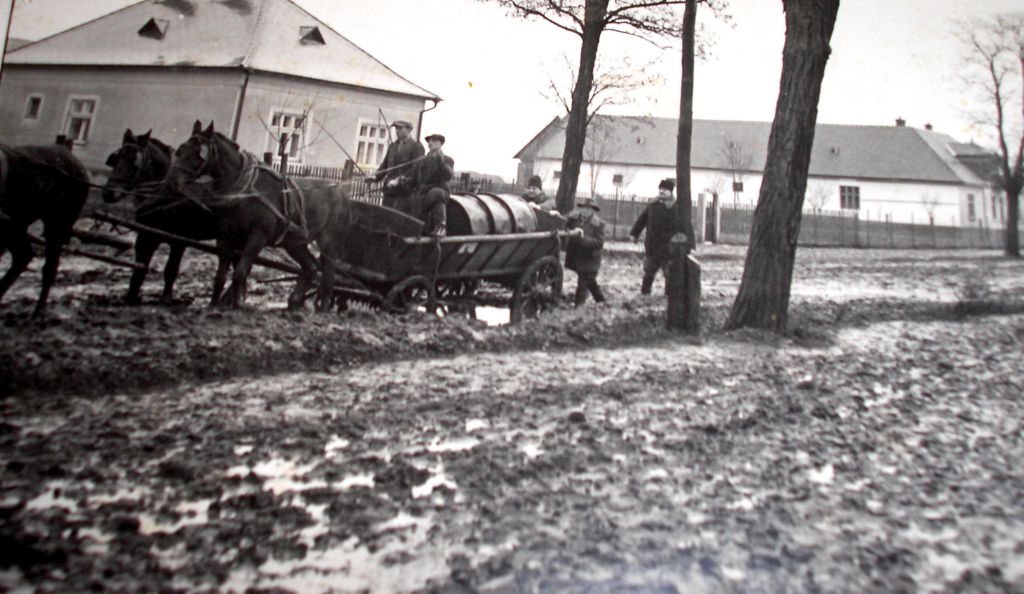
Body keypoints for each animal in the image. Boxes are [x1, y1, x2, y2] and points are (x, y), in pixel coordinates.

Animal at [102, 128, 218, 305]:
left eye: (134, 162)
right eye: (116, 159)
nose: (108, 193)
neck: (165, 194)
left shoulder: (179, 240)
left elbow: (171, 269)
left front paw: (166, 299)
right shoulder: (146, 235)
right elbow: (140, 267)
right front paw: (132, 297)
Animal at [167, 121, 348, 310]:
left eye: (198, 153)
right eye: (181, 149)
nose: (173, 181)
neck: (243, 190)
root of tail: (339, 190)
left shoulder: (257, 237)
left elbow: (240, 273)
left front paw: (236, 305)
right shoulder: (225, 237)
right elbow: (220, 276)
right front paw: (213, 306)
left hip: (328, 242)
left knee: (328, 273)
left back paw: (323, 307)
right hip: (294, 242)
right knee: (311, 267)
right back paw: (294, 303)